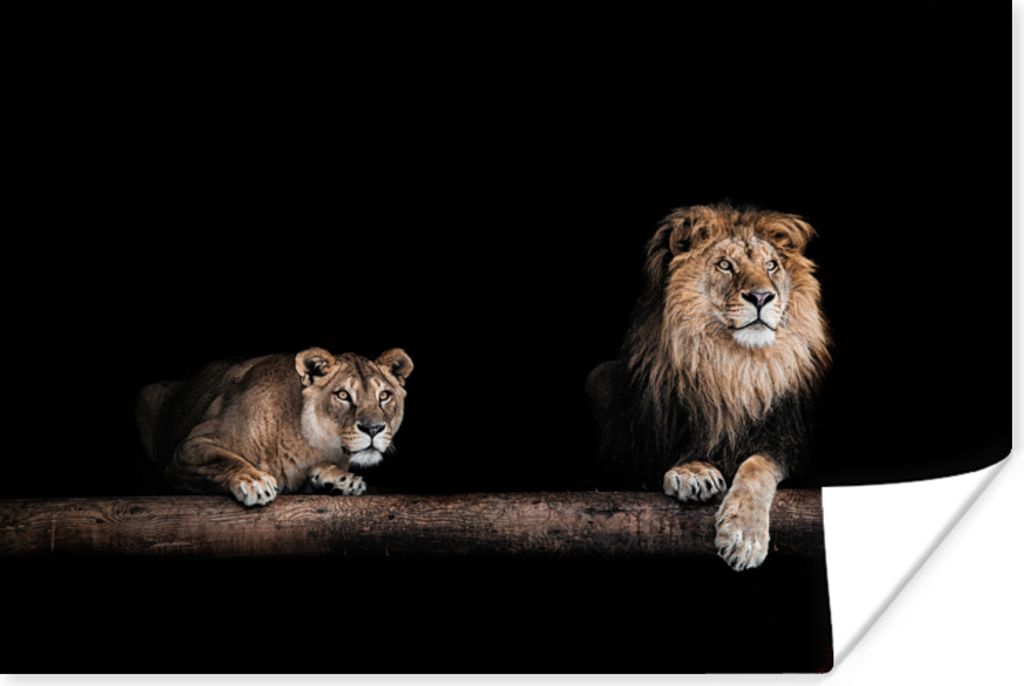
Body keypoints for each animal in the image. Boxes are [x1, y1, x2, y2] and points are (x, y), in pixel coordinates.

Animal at [136, 347, 413, 506]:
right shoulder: (191, 446)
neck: (308, 442)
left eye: (384, 395)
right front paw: (254, 481)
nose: (373, 429)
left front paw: (341, 480)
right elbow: (224, 459)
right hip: (147, 394)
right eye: (343, 395)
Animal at [587, 204, 830, 571]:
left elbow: (757, 466)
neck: (731, 365)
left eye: (771, 265)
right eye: (725, 265)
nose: (762, 296)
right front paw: (693, 472)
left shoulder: (788, 440)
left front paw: (744, 537)